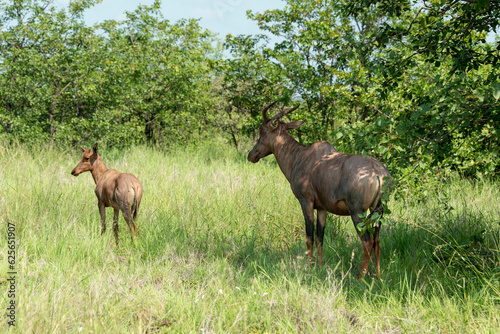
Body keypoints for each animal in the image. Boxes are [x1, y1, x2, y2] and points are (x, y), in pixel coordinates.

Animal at [248, 102, 392, 280]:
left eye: (262, 131)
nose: (251, 155)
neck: (302, 156)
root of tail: (378, 172)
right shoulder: (323, 208)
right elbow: (320, 238)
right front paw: (320, 267)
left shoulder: (306, 202)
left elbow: (309, 236)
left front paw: (309, 269)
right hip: (378, 210)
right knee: (377, 241)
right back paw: (378, 277)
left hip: (357, 212)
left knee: (367, 241)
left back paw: (360, 278)